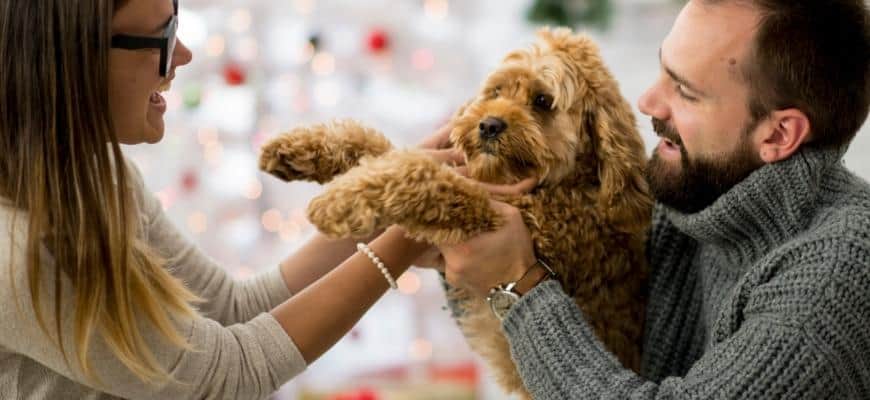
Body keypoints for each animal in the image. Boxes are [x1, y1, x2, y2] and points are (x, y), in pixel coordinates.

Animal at [258, 27, 656, 396]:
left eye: (543, 100)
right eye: (496, 92)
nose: (489, 125)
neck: (562, 188)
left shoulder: (504, 216)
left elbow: (423, 174)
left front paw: (341, 200)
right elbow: (384, 149)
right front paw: (299, 149)